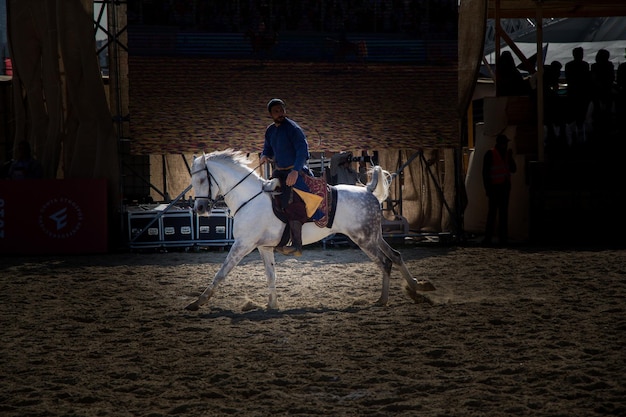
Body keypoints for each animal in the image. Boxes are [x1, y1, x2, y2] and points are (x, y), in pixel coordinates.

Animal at [185, 149, 434, 308]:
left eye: (201, 180)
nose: (199, 208)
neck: (249, 197)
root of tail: (367, 191)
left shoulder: (242, 245)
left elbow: (221, 272)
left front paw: (198, 302)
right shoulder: (263, 248)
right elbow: (271, 275)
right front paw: (272, 305)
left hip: (364, 240)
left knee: (385, 262)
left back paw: (384, 299)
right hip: (374, 237)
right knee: (396, 256)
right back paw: (417, 289)